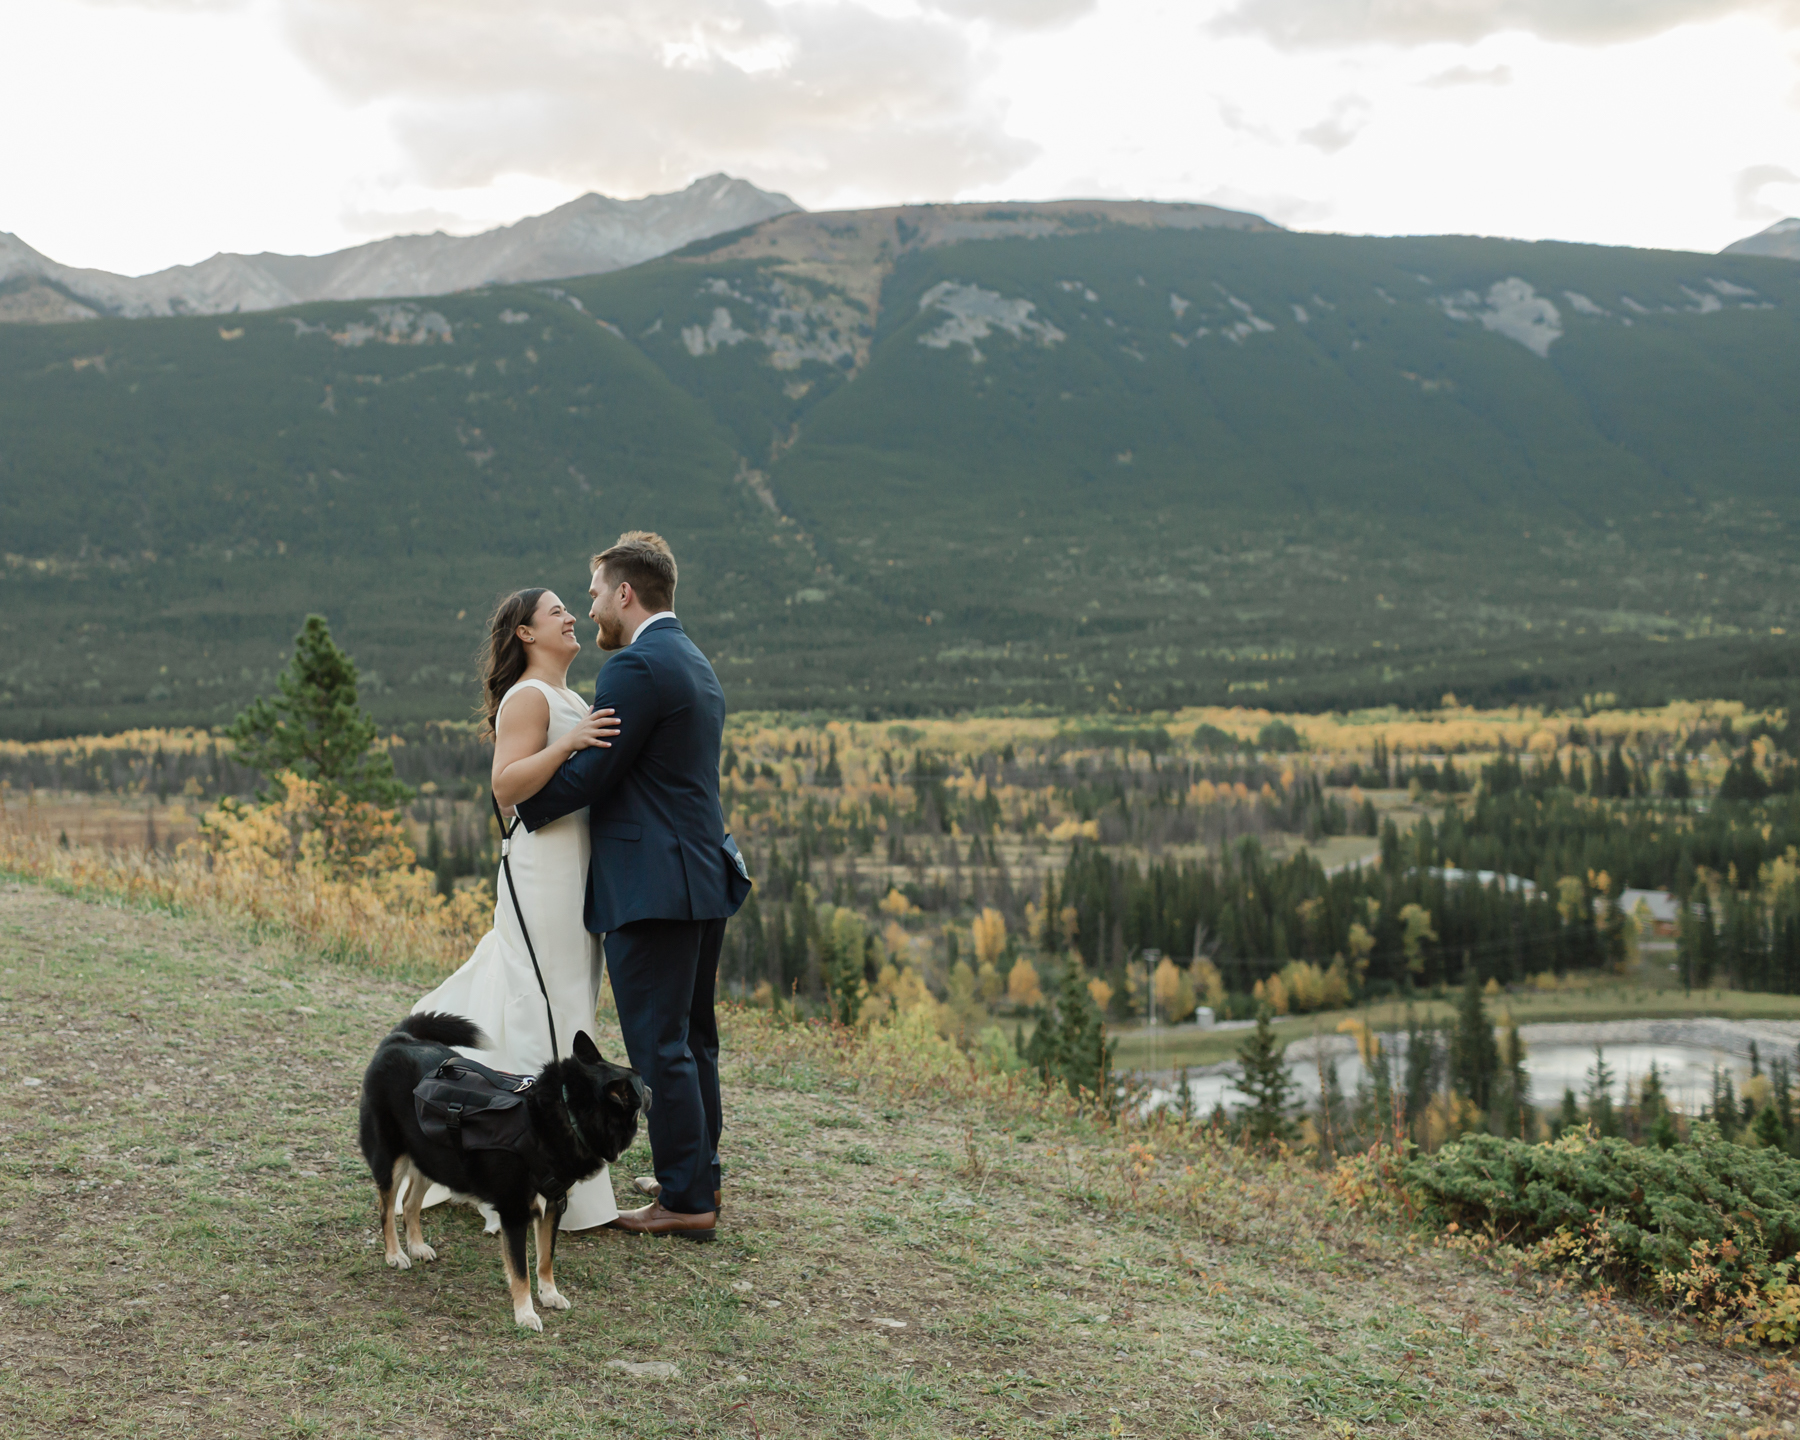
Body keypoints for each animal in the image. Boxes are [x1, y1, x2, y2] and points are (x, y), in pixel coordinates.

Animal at [354, 1015, 644, 1324]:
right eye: (640, 1086)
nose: (652, 1090)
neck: (564, 1114)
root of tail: (399, 1039)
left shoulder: (553, 1206)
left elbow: (545, 1259)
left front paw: (550, 1294)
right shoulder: (514, 1213)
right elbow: (520, 1270)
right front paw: (525, 1313)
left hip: (431, 1156)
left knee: (410, 1202)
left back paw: (417, 1246)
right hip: (391, 1158)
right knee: (387, 1209)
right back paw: (395, 1253)